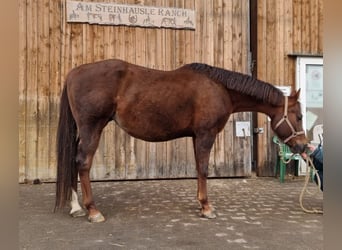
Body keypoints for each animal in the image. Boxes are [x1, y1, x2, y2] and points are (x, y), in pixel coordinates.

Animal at [55, 59, 308, 223]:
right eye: (298, 116)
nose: (304, 146)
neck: (220, 88)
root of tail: (74, 73)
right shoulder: (206, 134)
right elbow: (204, 169)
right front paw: (206, 207)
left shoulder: (197, 136)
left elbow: (198, 168)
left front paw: (201, 203)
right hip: (92, 128)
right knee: (83, 163)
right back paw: (92, 211)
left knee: (73, 162)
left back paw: (76, 207)